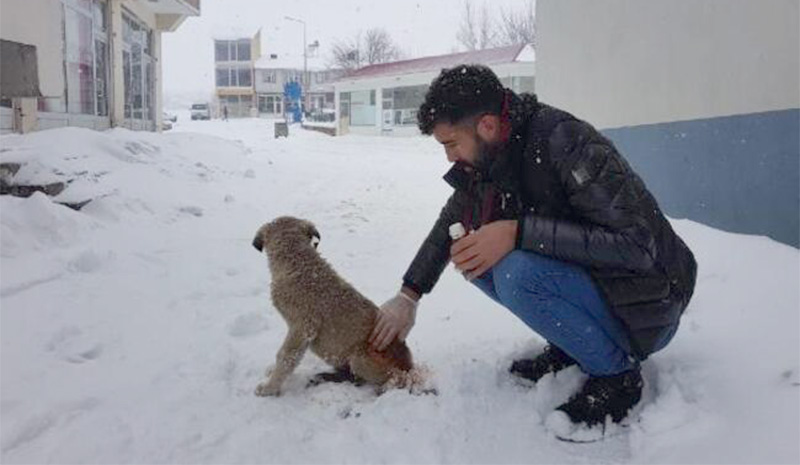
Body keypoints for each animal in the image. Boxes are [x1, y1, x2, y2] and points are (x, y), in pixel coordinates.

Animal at [252, 215, 412, 396]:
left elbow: (286, 356)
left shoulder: (302, 327)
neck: (298, 261)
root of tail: (409, 367)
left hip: (360, 359)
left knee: (368, 380)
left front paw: (270, 387)